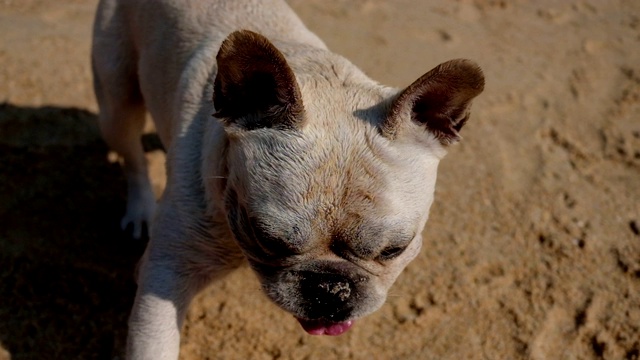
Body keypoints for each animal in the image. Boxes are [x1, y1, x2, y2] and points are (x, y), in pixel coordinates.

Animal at [89, 0, 480, 358]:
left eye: (394, 250)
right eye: (267, 240)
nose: (330, 288)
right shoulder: (166, 273)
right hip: (116, 106)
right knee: (132, 154)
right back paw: (141, 209)